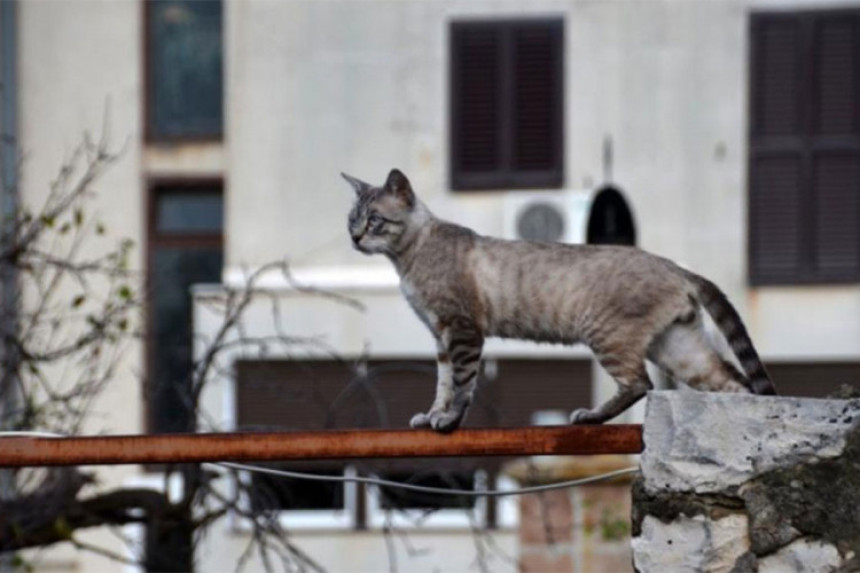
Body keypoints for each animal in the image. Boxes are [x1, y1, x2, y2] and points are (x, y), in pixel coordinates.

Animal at [342, 168, 780, 432]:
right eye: (351, 220)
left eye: (374, 220)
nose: (355, 238)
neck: (406, 260)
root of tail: (675, 266)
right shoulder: (440, 336)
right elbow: (443, 383)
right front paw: (433, 416)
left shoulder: (462, 329)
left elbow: (463, 385)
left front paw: (448, 422)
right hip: (678, 349)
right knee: (733, 382)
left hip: (607, 336)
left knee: (641, 383)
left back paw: (590, 416)